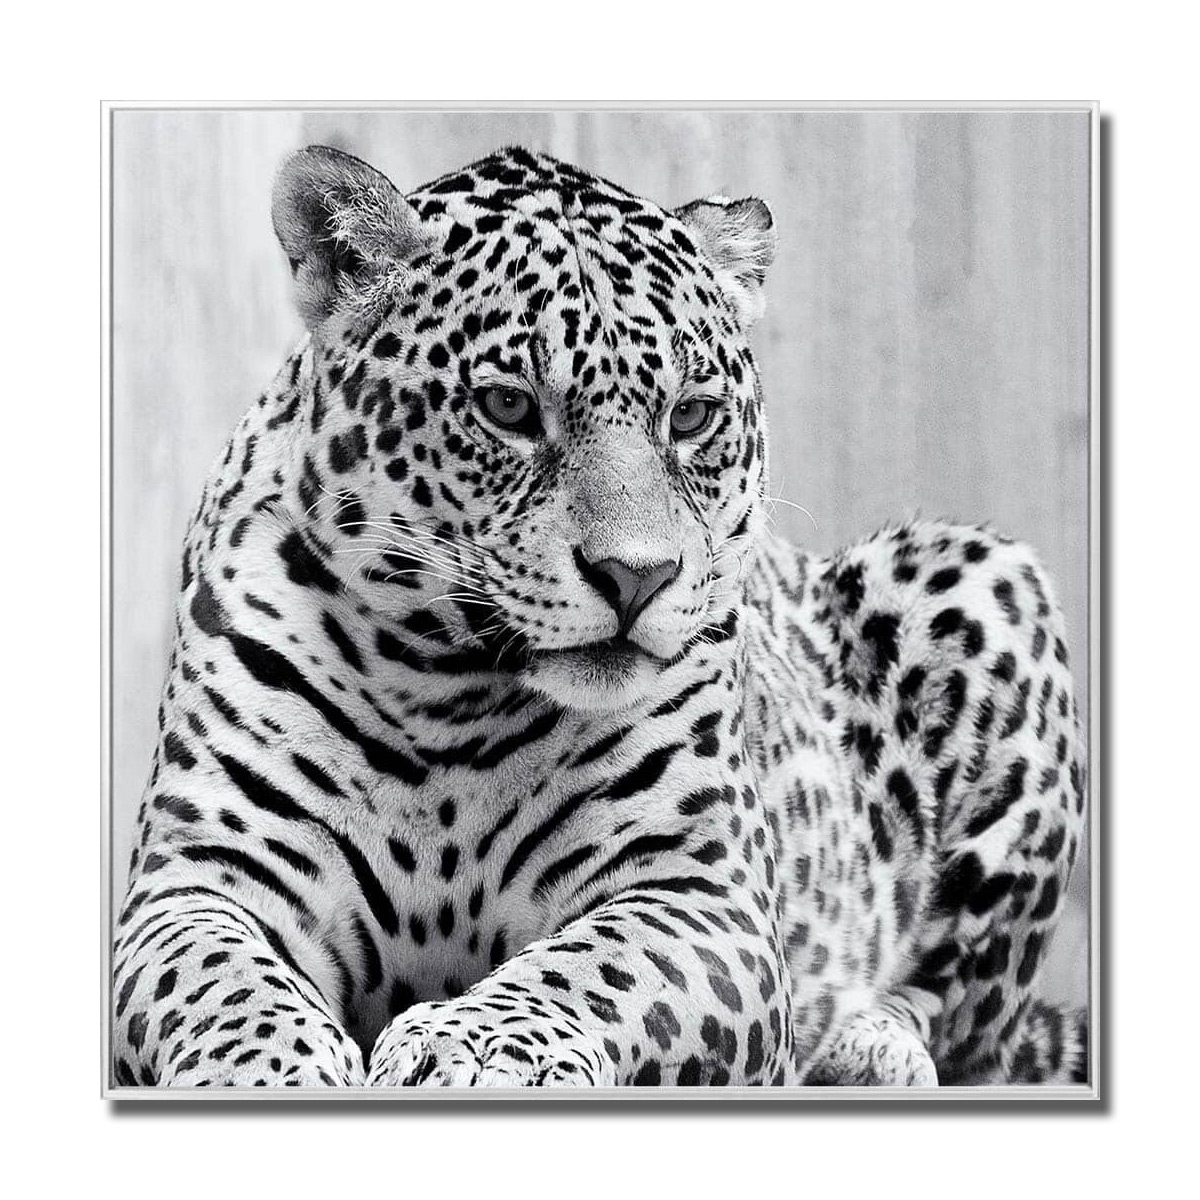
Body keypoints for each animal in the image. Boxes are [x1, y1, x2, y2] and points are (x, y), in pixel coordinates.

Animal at [112, 144, 1088, 1089]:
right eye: (507, 406)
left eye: (691, 417)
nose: (635, 577)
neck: (443, 695)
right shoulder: (199, 878)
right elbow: (222, 984)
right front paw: (271, 1070)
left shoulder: (699, 890)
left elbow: (590, 968)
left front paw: (470, 1047)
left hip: (984, 576)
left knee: (964, 1023)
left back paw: (867, 1048)